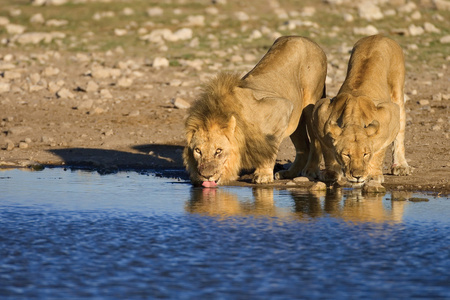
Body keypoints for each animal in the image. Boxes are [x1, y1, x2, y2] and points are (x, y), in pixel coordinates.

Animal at [183, 34, 326, 185]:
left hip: (310, 102)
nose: (206, 175)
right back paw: (289, 173)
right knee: (303, 146)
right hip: (295, 117)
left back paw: (310, 170)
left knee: (315, 141)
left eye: (218, 151)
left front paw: (263, 175)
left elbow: (268, 149)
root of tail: (305, 39)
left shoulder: (282, 107)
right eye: (198, 150)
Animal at [312, 34, 410, 190]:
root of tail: (379, 35)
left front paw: (374, 175)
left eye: (365, 154)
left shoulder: (389, 114)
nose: (357, 176)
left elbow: (380, 151)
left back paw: (400, 166)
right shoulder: (320, 113)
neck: (353, 117)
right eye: (347, 155)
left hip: (397, 92)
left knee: (400, 132)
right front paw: (330, 173)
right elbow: (327, 150)